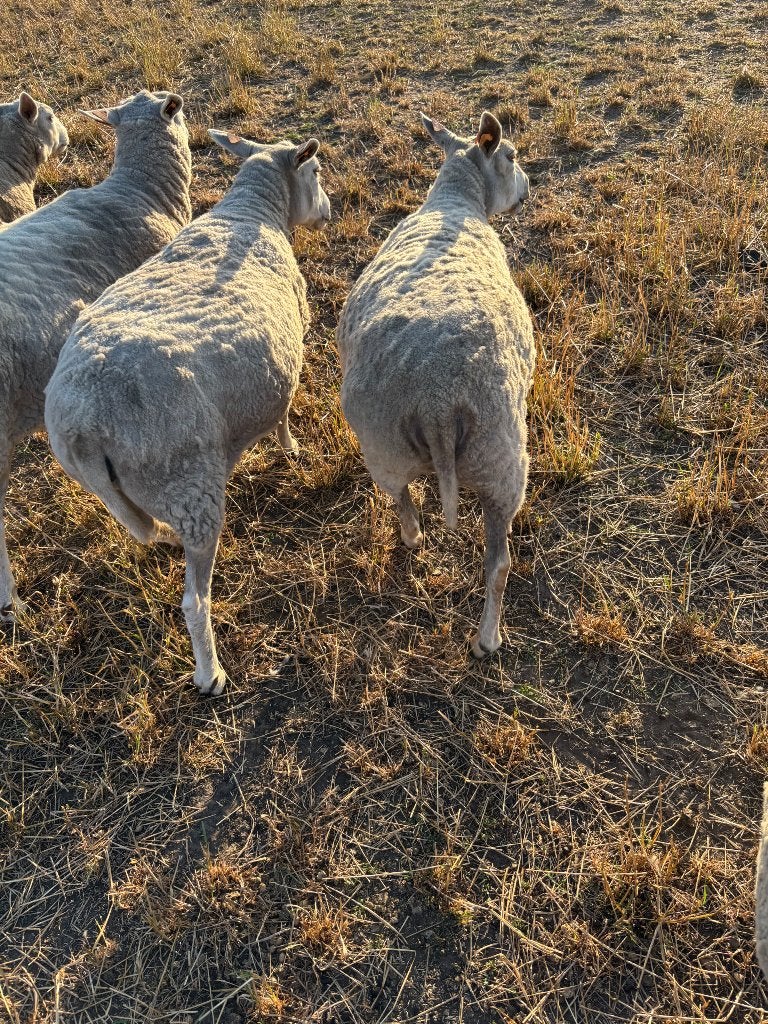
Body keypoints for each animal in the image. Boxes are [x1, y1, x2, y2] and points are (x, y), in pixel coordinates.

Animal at [45, 128, 331, 695]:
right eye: (314, 173)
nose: (329, 212)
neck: (250, 212)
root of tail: (86, 425)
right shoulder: (289, 350)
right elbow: (285, 413)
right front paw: (293, 449)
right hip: (189, 485)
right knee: (195, 602)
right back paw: (210, 672)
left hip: (140, 490)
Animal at [336, 111, 534, 658]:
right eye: (511, 155)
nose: (529, 185)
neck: (454, 202)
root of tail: (437, 403)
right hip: (501, 460)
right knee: (498, 563)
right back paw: (487, 638)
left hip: (383, 445)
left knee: (400, 499)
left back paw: (414, 539)